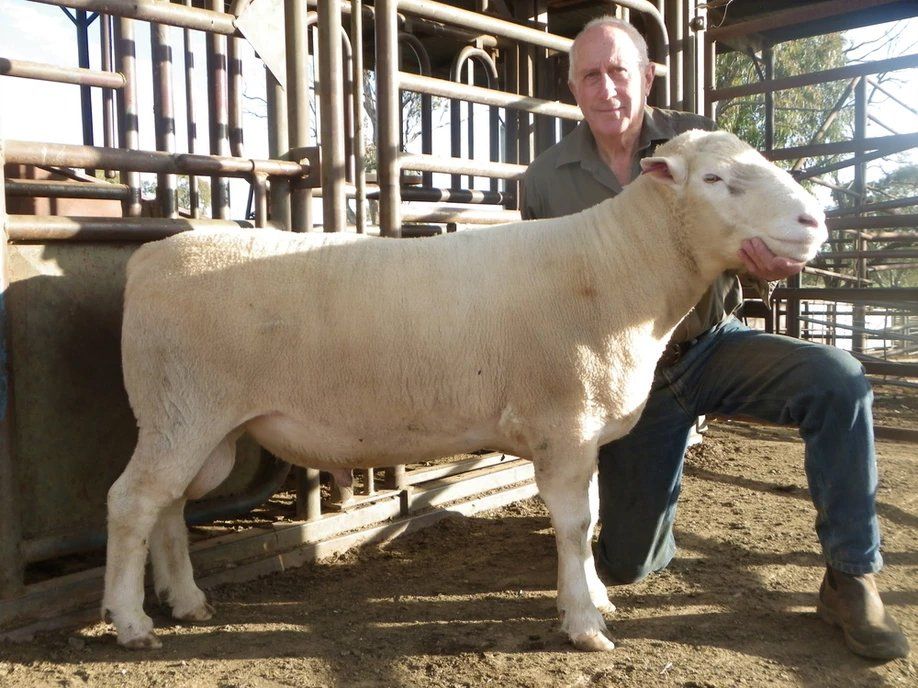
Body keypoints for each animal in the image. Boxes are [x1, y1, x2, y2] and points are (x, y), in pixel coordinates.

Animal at [102, 129, 827, 652]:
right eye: (714, 180)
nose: (814, 221)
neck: (619, 267)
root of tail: (148, 259)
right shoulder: (564, 422)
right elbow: (574, 524)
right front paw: (585, 624)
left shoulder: (584, 431)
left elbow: (591, 517)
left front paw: (592, 597)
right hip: (182, 406)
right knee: (132, 502)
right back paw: (131, 622)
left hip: (200, 424)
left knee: (168, 506)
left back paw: (187, 602)